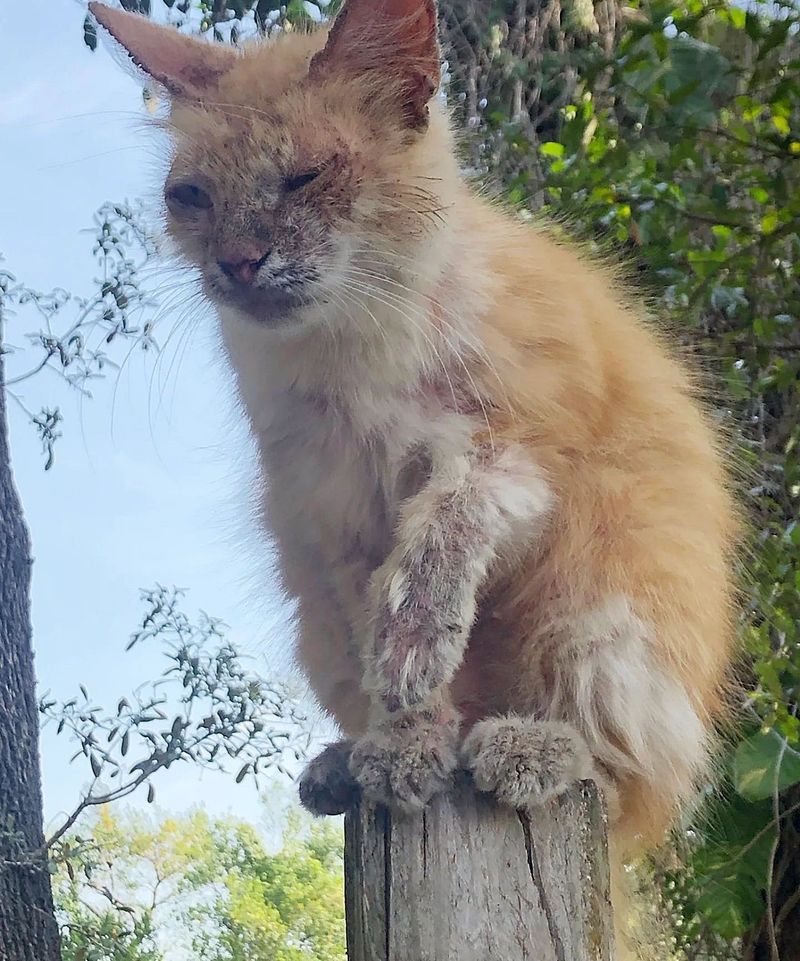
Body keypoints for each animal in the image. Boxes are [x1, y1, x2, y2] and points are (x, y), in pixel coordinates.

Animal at [89, 0, 736, 924]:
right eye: (191, 196)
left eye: (305, 176)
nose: (237, 264)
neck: (353, 355)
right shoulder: (337, 520)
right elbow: (397, 667)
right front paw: (405, 746)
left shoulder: (519, 450)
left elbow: (445, 534)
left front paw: (417, 641)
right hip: (317, 628)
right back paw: (354, 766)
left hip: (602, 620)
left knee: (622, 785)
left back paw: (525, 748)